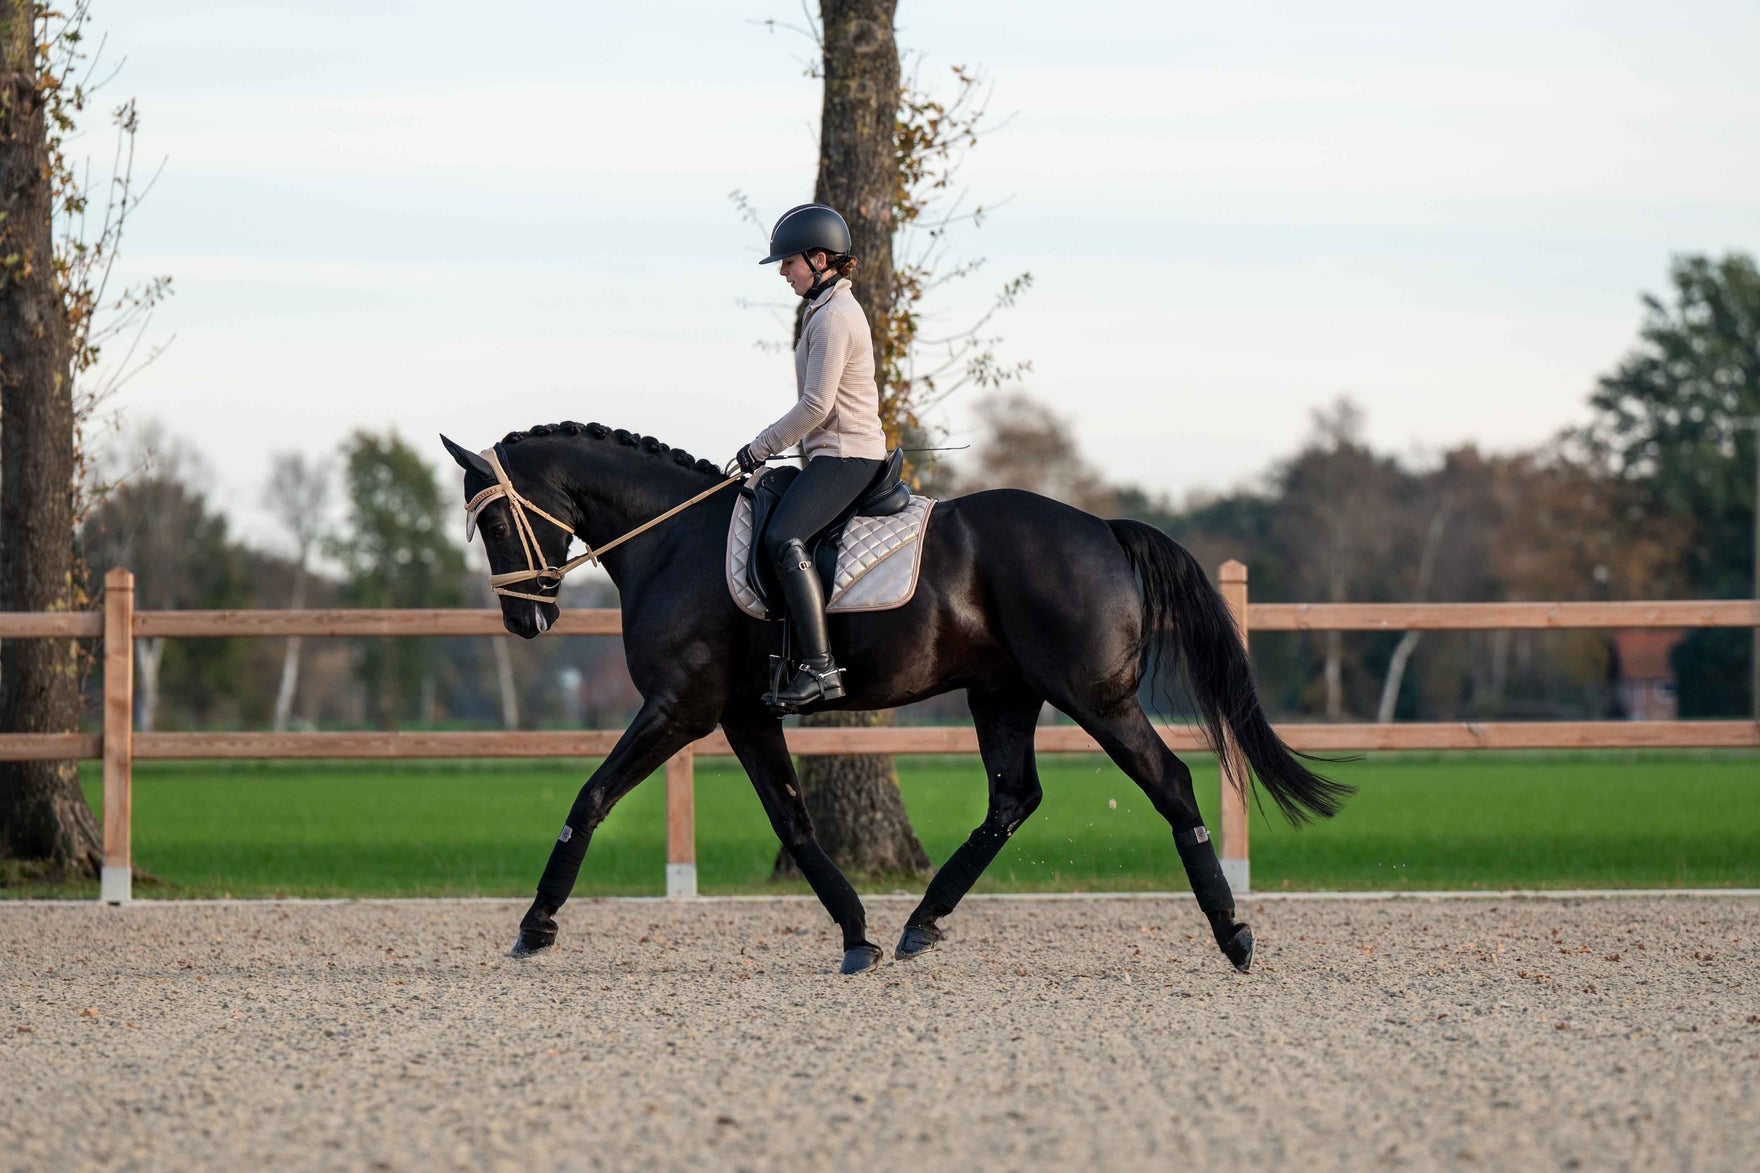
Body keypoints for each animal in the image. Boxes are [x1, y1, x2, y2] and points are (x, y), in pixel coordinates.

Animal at [443, 424, 1344, 972]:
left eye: (494, 524)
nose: (525, 620)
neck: (673, 538)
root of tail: (1102, 529)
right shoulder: (744, 714)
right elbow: (795, 822)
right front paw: (856, 933)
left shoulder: (681, 707)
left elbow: (591, 796)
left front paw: (535, 925)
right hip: (1003, 694)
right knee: (1013, 799)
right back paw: (920, 920)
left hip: (1094, 697)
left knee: (1172, 784)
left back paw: (1234, 933)